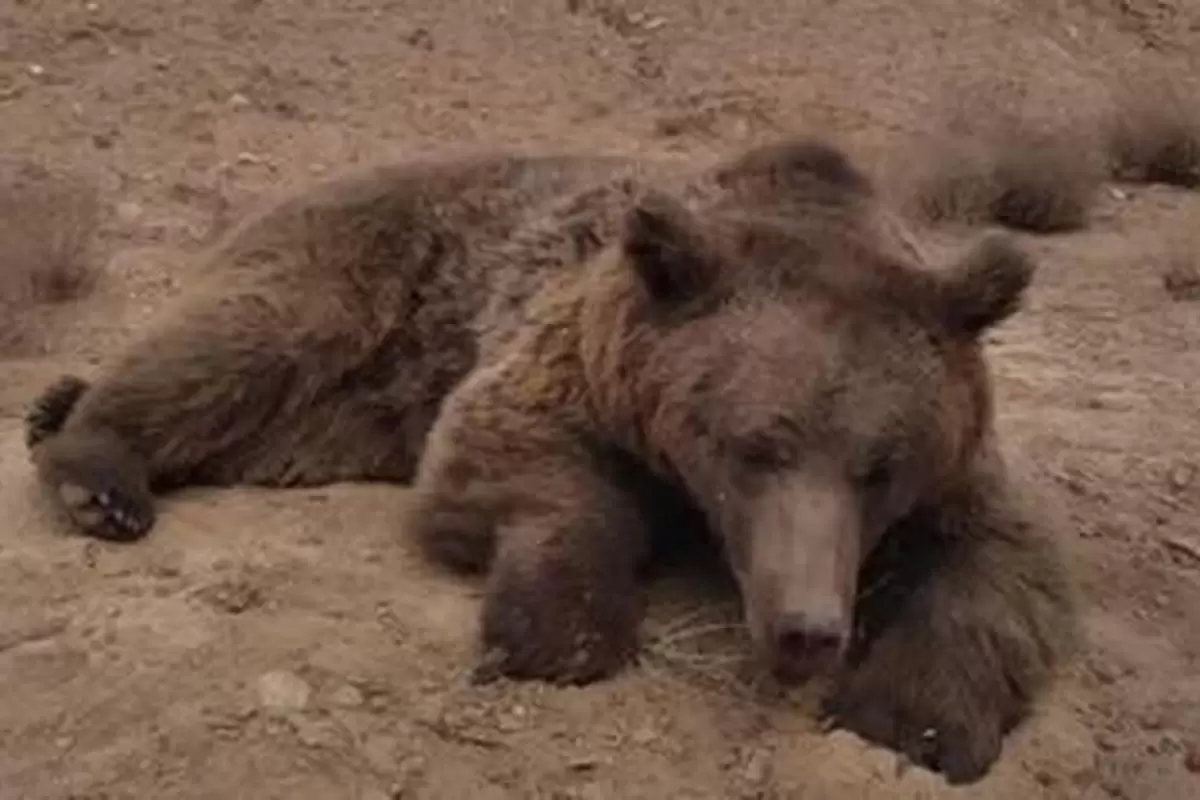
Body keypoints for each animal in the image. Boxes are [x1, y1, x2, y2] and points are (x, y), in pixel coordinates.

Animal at [25, 136, 1080, 782]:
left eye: (881, 466)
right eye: (754, 446)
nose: (808, 628)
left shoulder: (962, 467)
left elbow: (1003, 563)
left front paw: (914, 715)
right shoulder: (575, 359)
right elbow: (512, 458)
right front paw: (557, 629)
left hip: (340, 416)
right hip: (360, 266)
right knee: (242, 338)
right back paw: (95, 472)